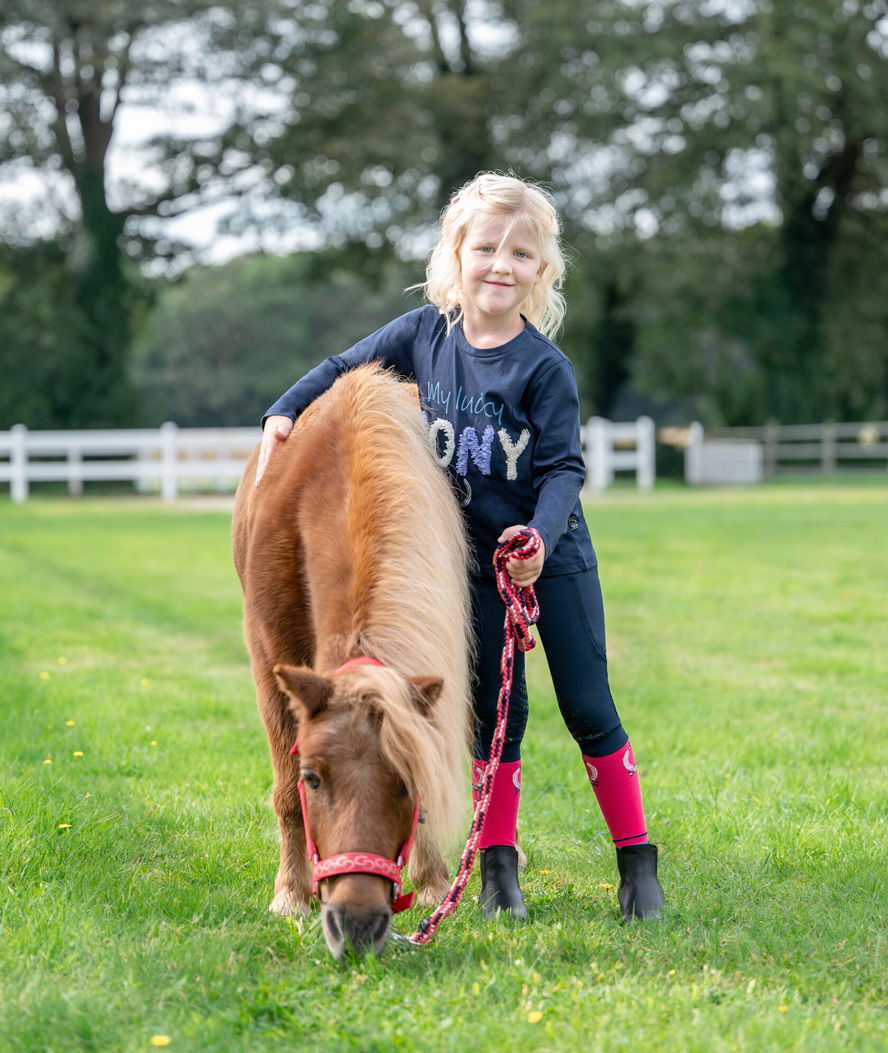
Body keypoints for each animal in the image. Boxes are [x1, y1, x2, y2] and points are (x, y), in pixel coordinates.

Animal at [232, 366, 476, 960]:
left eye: (409, 783)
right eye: (313, 777)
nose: (358, 922)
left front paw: (434, 880)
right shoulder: (269, 663)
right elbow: (284, 793)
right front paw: (290, 895)